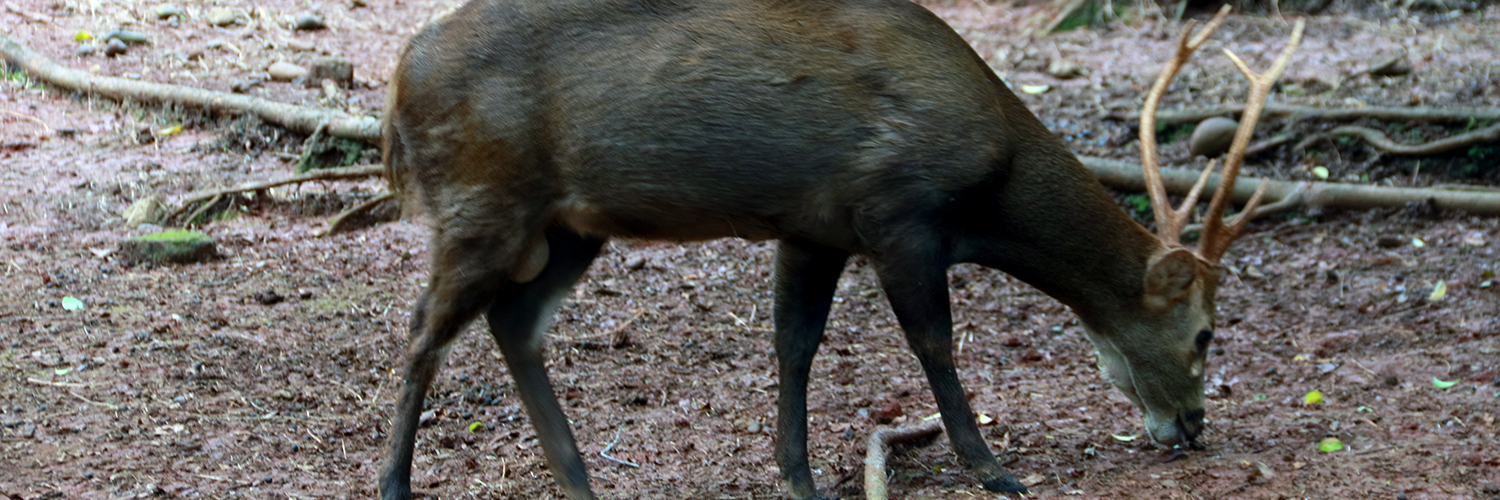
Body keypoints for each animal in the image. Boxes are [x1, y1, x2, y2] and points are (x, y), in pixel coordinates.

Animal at [375, 0, 1302, 495]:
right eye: (1206, 332)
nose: (1192, 426)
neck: (990, 182)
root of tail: (397, 79)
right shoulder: (897, 209)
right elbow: (933, 342)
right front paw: (991, 467)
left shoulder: (811, 227)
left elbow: (795, 344)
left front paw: (798, 472)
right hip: (482, 199)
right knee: (422, 330)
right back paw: (395, 482)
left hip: (569, 226)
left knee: (513, 323)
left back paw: (578, 476)